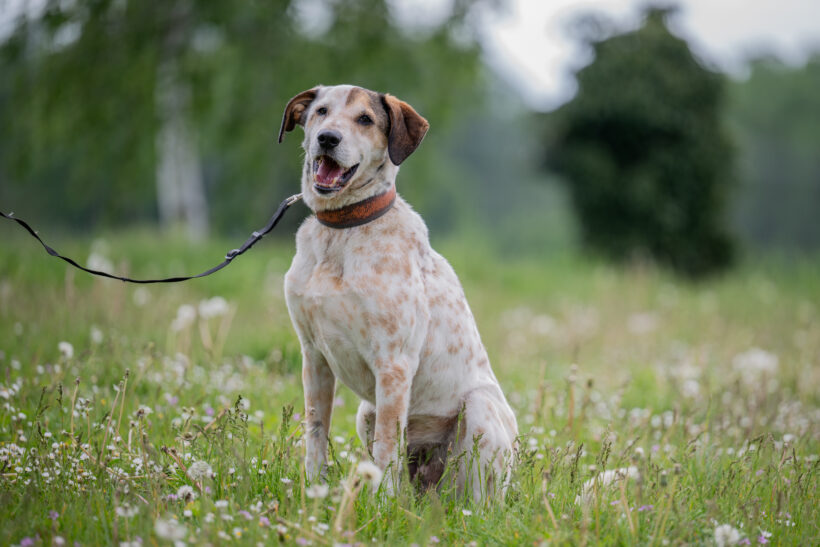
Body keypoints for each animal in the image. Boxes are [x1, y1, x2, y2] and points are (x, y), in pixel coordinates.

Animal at [278, 83, 516, 498]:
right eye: (321, 111)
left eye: (365, 119)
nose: (328, 138)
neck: (342, 231)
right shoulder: (314, 357)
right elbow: (316, 433)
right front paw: (314, 492)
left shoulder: (393, 363)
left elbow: (386, 449)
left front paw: (380, 503)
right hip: (366, 412)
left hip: (479, 411)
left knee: (474, 497)